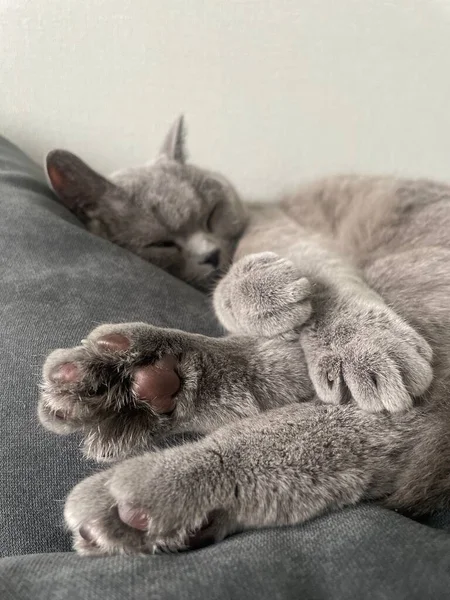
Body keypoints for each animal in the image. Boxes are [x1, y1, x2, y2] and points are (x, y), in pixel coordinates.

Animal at [40, 118, 448, 556]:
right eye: (161, 242)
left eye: (212, 213)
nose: (209, 254)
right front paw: (259, 293)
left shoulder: (285, 232)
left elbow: (312, 276)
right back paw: (131, 380)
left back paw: (153, 481)